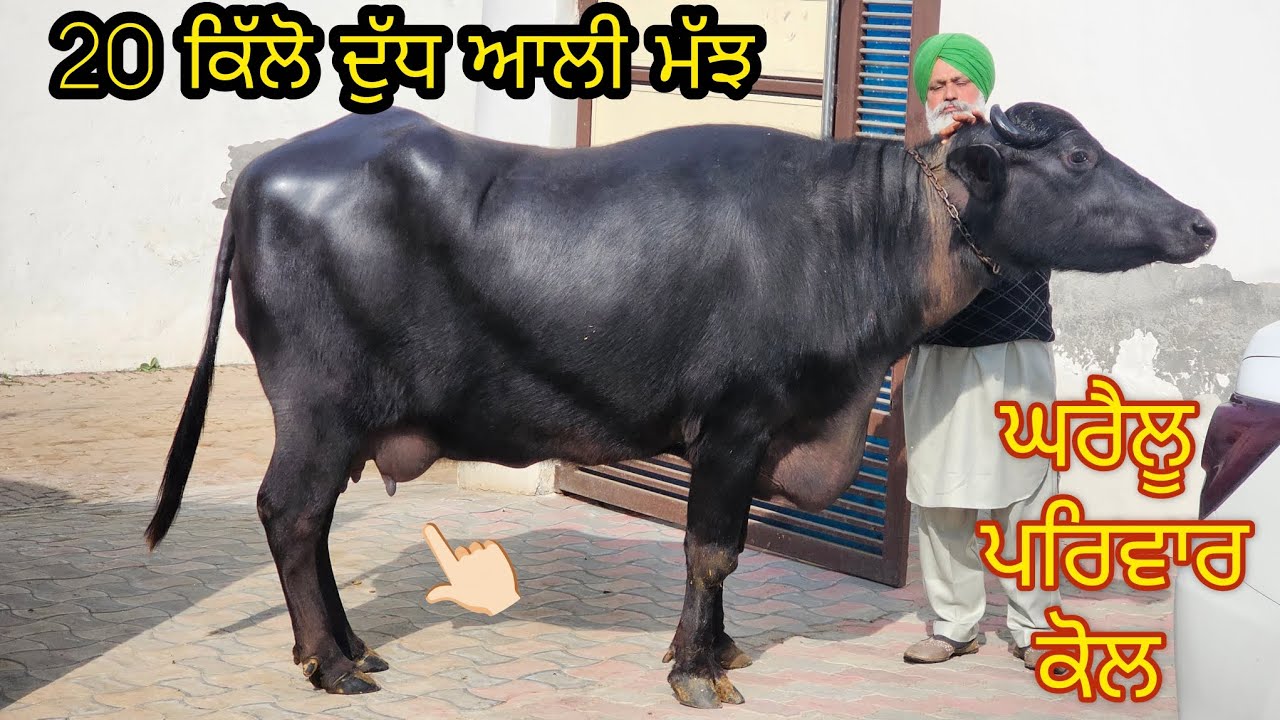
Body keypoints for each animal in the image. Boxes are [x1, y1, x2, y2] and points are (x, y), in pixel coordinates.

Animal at [144, 101, 1215, 708]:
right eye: (1075, 159)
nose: (1200, 222)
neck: (854, 233)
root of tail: (265, 172)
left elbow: (723, 556)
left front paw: (715, 643)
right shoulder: (735, 426)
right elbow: (714, 548)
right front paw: (699, 668)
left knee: (312, 524)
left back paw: (347, 644)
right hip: (318, 409)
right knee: (291, 514)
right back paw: (330, 662)